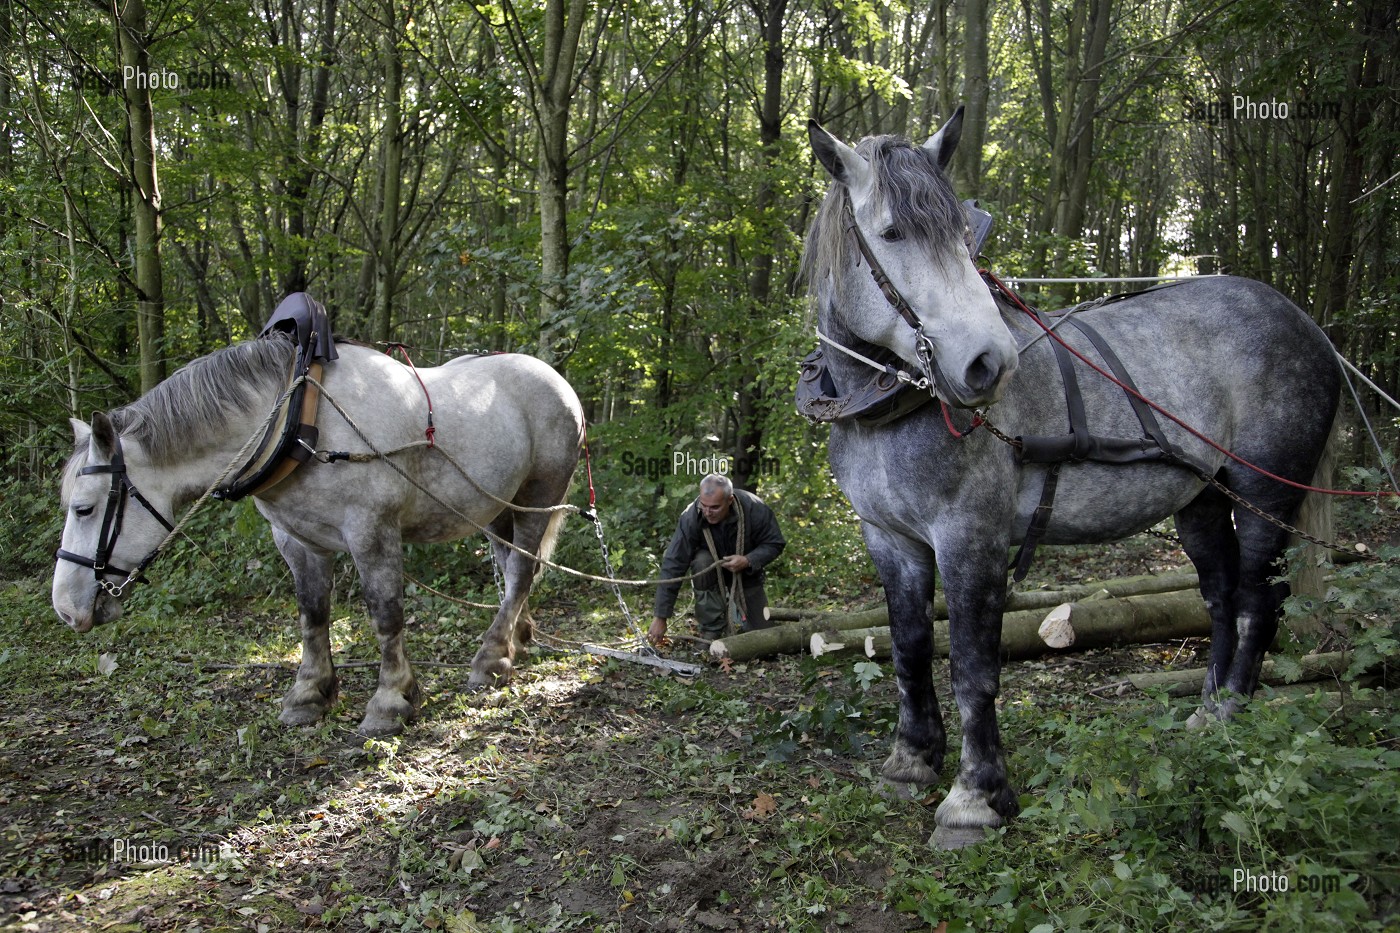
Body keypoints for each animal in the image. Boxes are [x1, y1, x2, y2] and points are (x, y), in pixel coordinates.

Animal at [52, 333, 584, 737]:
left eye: (84, 508)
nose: (65, 609)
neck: (299, 421)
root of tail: (557, 379)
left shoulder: (371, 532)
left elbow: (386, 615)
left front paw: (390, 700)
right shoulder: (296, 540)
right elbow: (312, 616)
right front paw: (309, 694)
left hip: (539, 495)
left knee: (521, 570)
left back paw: (491, 659)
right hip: (495, 507)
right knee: (512, 570)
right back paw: (516, 638)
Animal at [803, 108, 1340, 847]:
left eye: (961, 232)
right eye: (890, 233)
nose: (988, 363)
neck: (887, 408)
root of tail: (1301, 319)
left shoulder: (970, 536)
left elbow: (973, 666)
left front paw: (974, 799)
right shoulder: (889, 538)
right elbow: (910, 648)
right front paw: (911, 761)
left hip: (1267, 492)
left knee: (1259, 599)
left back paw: (1233, 713)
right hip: (1204, 499)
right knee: (1222, 595)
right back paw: (1206, 716)